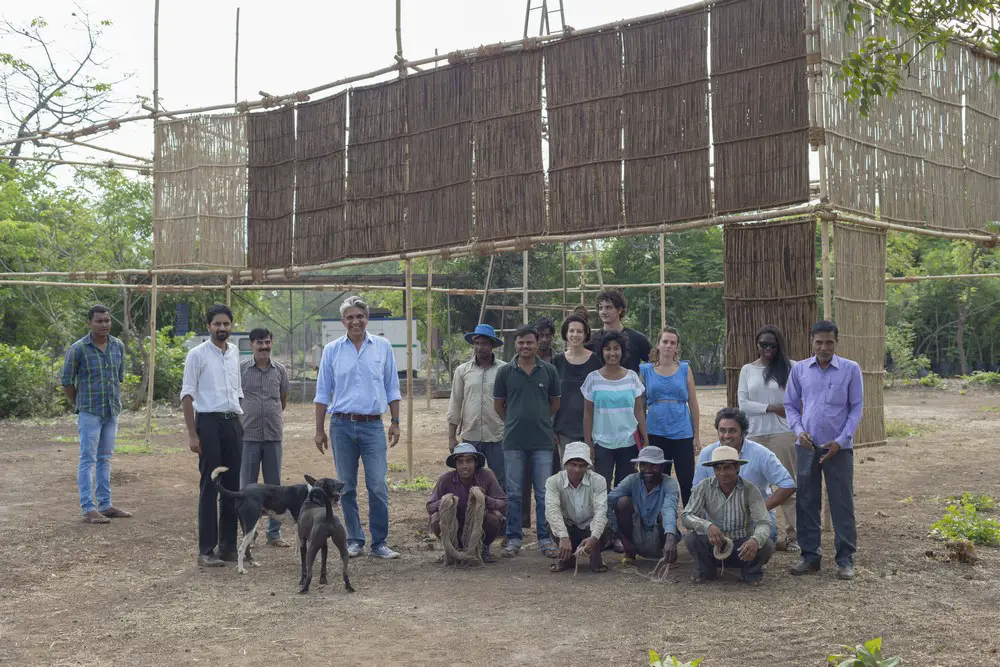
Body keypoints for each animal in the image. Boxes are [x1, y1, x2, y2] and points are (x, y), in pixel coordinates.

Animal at [209, 470, 346, 576]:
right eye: (335, 483)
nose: (344, 482)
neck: (313, 494)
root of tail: (241, 492)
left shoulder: (298, 529)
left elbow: (298, 549)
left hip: (247, 527)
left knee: (246, 547)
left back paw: (253, 563)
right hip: (251, 526)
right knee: (241, 548)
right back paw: (241, 570)